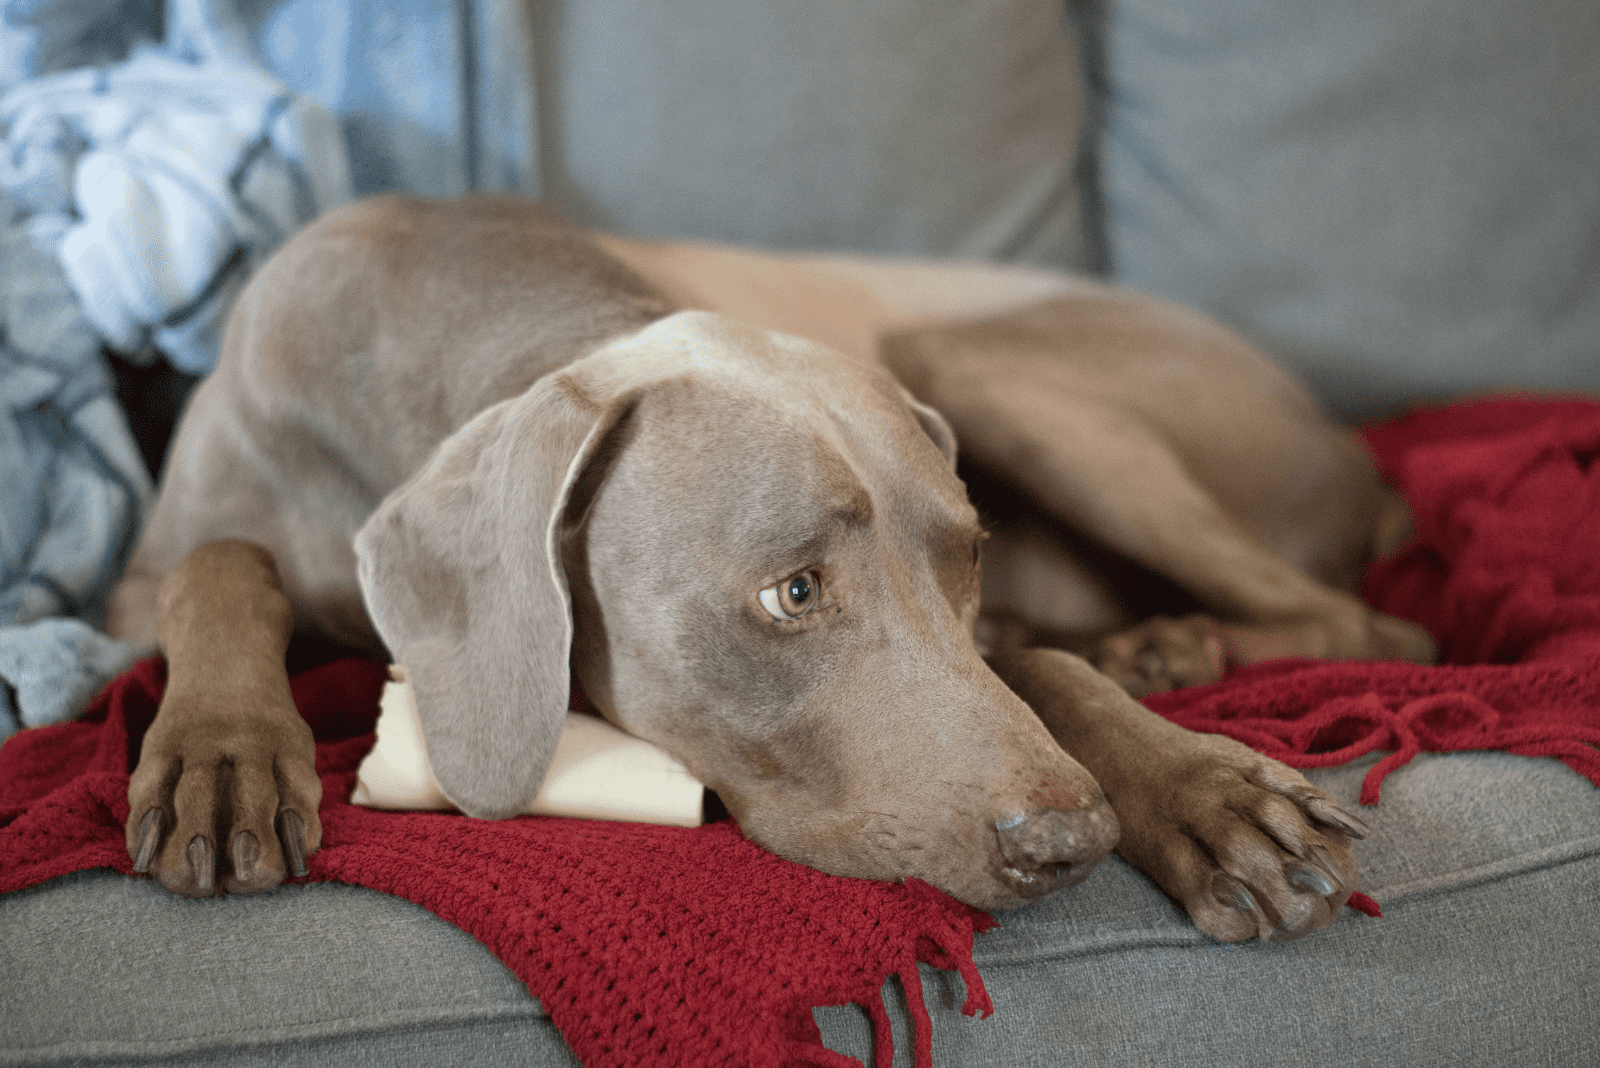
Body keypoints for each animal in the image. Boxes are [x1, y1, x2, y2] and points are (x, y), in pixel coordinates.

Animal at [109, 194, 1440, 940]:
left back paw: (1167, 648)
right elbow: (218, 562)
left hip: (977, 358)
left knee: (1378, 631)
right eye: (791, 593)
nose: (1070, 844)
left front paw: (1209, 796)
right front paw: (222, 755)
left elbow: (1037, 672)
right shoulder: (128, 590)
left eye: (967, 558)